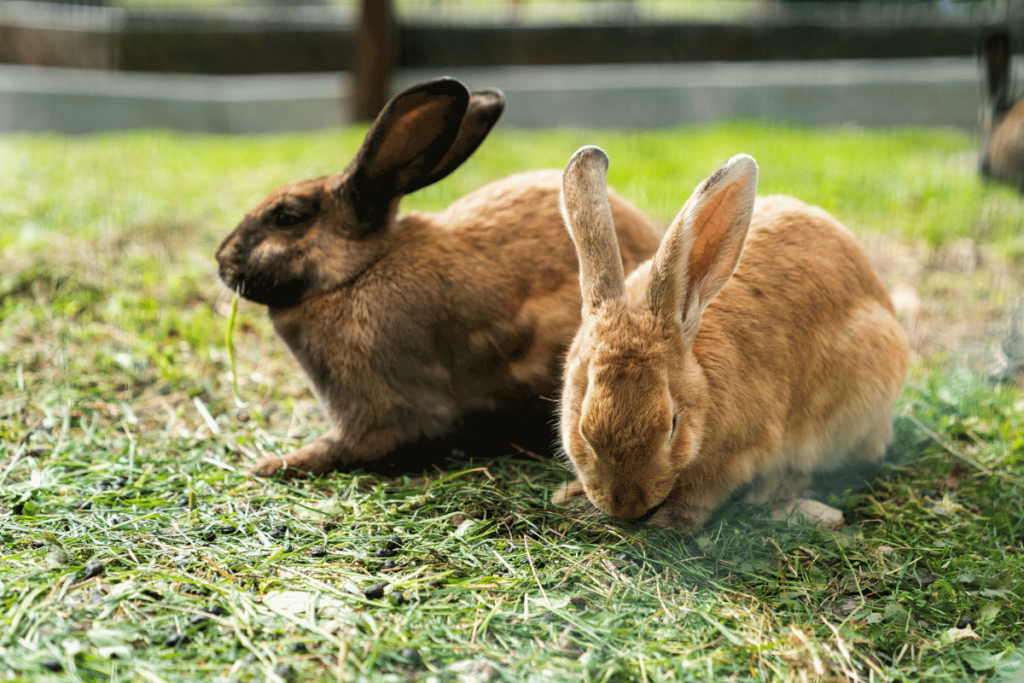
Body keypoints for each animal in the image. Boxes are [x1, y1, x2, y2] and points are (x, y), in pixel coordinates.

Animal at [218, 77, 663, 479]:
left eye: (286, 217)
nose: (222, 262)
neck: (356, 273)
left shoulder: (377, 416)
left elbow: (344, 448)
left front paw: (271, 465)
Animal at [557, 147, 909, 532]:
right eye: (583, 428)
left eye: (672, 426)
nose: (629, 508)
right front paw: (568, 493)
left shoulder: (738, 455)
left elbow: (705, 493)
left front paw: (672, 520)